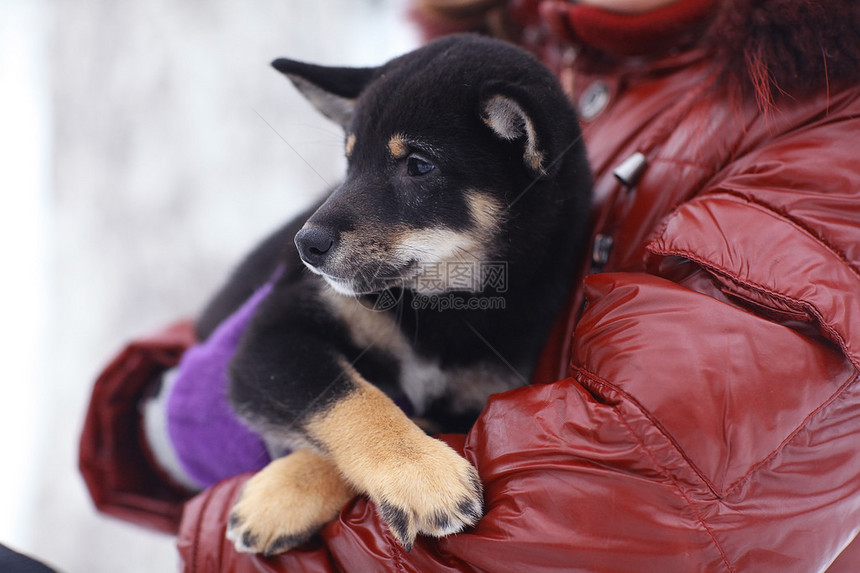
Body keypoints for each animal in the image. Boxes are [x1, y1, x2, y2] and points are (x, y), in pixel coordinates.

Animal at [206, 34, 596, 556]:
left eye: (418, 165)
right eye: (349, 161)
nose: (306, 245)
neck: (439, 309)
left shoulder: (476, 399)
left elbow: (405, 412)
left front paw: (291, 490)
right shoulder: (274, 333)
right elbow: (347, 396)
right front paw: (420, 474)